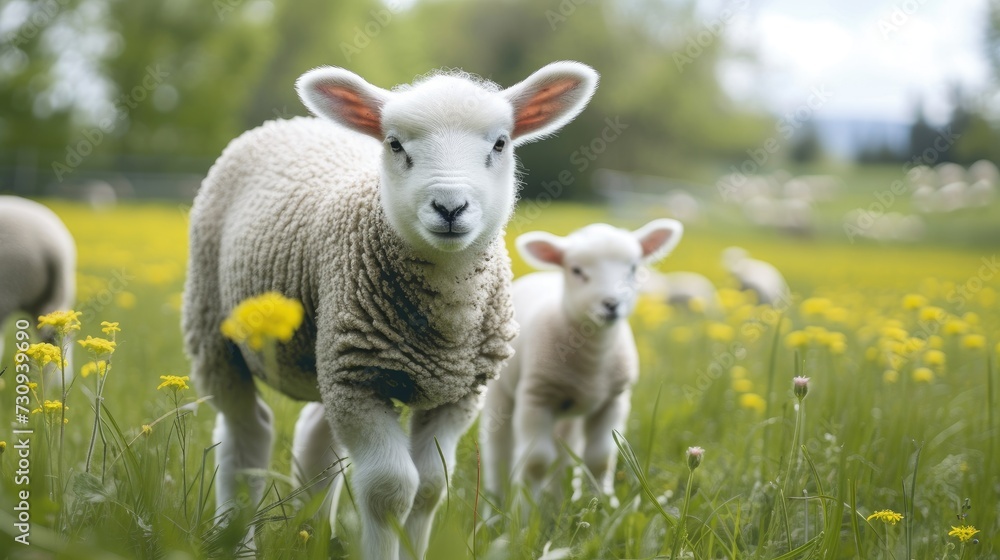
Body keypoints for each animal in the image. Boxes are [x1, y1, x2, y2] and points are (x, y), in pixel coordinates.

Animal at [181, 61, 598, 559]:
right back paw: (236, 536)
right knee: (246, 436)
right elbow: (390, 488)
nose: (450, 207)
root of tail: (289, 122)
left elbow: (429, 488)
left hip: (327, 349)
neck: (445, 322)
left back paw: (312, 533)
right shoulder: (358, 379)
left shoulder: (456, 393)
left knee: (314, 438)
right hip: (215, 327)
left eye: (500, 143)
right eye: (395, 144)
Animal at [479, 219, 683, 507]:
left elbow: (600, 458)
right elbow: (536, 461)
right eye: (576, 270)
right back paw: (497, 506)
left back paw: (558, 501)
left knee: (564, 453)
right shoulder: (536, 397)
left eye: (633, 268)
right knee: (499, 453)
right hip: (502, 394)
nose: (611, 304)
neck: (593, 360)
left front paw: (602, 506)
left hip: (569, 412)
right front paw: (526, 512)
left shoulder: (613, 401)